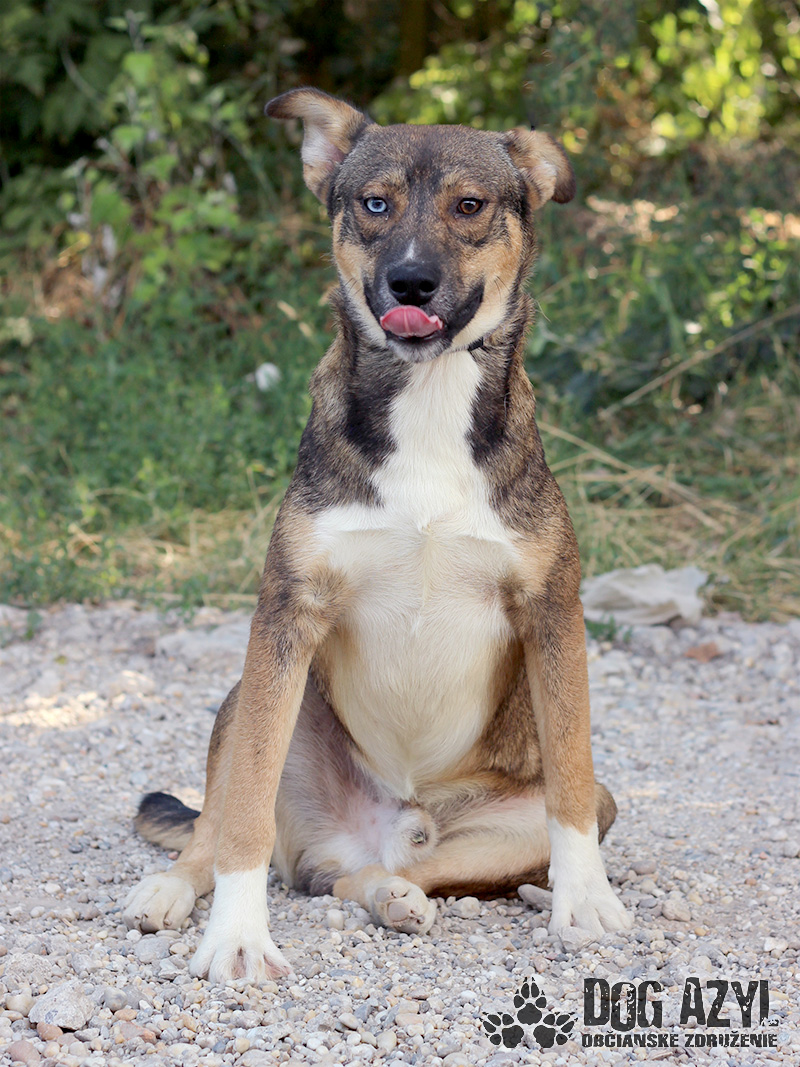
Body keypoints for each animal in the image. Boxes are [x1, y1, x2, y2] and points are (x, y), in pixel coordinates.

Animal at [123, 87, 632, 984]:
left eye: (470, 205)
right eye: (373, 204)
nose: (411, 279)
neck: (426, 398)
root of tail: (372, 827)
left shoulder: (552, 610)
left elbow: (571, 777)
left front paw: (585, 902)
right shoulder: (286, 617)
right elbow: (242, 814)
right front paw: (237, 935)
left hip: (483, 830)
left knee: (360, 874)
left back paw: (396, 894)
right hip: (249, 697)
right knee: (229, 827)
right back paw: (175, 887)